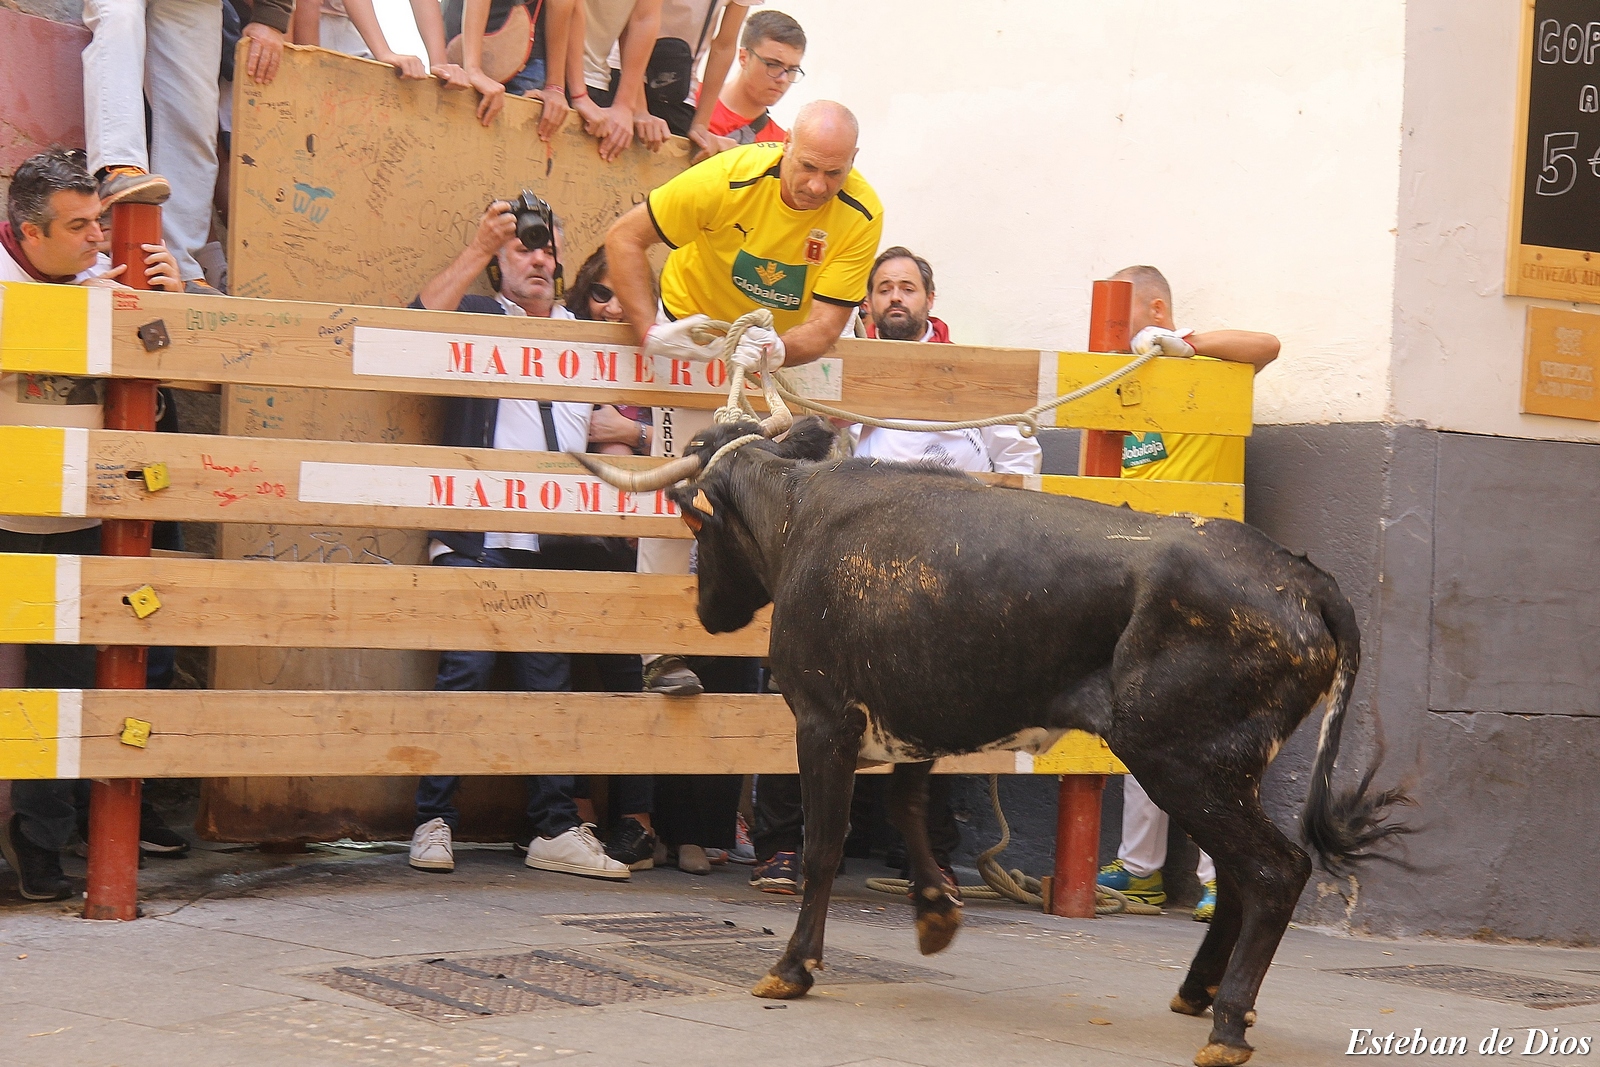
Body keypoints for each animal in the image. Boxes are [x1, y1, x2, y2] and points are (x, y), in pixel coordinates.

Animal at [582, 419, 1408, 1067]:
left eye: (695, 525)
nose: (709, 614)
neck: (803, 516)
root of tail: (1303, 579)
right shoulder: (918, 716)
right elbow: (910, 809)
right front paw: (934, 911)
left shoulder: (823, 720)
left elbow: (824, 845)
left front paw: (793, 965)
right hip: (1220, 769)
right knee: (1238, 873)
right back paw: (1197, 991)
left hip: (1182, 760)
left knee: (1273, 869)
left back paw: (1229, 1021)